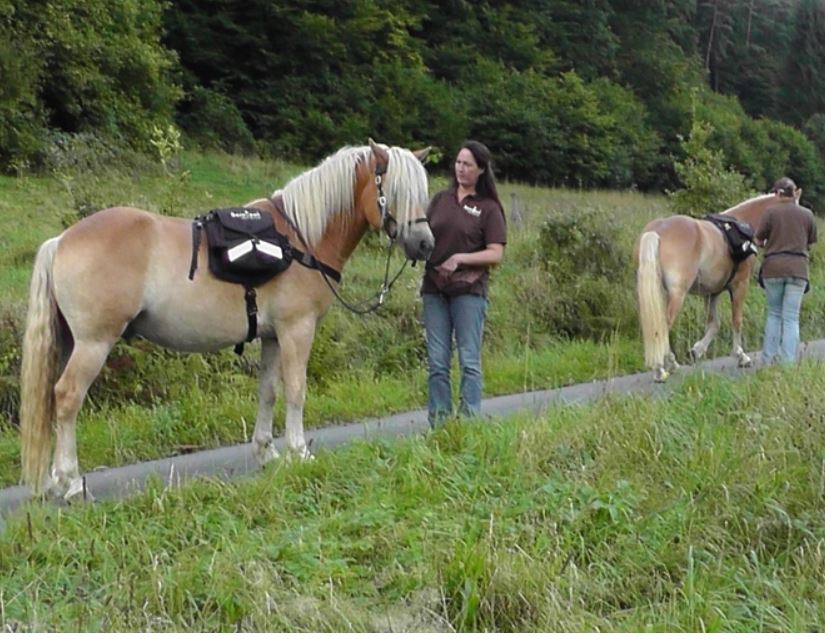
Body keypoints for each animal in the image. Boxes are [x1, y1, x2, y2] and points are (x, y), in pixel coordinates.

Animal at [20, 139, 434, 499]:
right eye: (394, 190)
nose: (425, 244)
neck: (298, 240)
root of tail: (62, 241)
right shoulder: (296, 330)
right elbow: (296, 389)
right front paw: (299, 452)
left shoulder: (272, 336)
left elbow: (268, 391)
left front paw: (266, 451)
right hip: (94, 343)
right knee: (68, 397)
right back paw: (71, 482)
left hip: (73, 343)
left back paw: (57, 478)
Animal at [634, 188, 800, 382]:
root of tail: (657, 231)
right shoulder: (739, 286)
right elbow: (736, 320)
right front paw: (741, 356)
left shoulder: (711, 293)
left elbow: (714, 324)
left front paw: (696, 351)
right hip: (677, 294)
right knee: (663, 326)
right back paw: (661, 369)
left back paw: (671, 364)